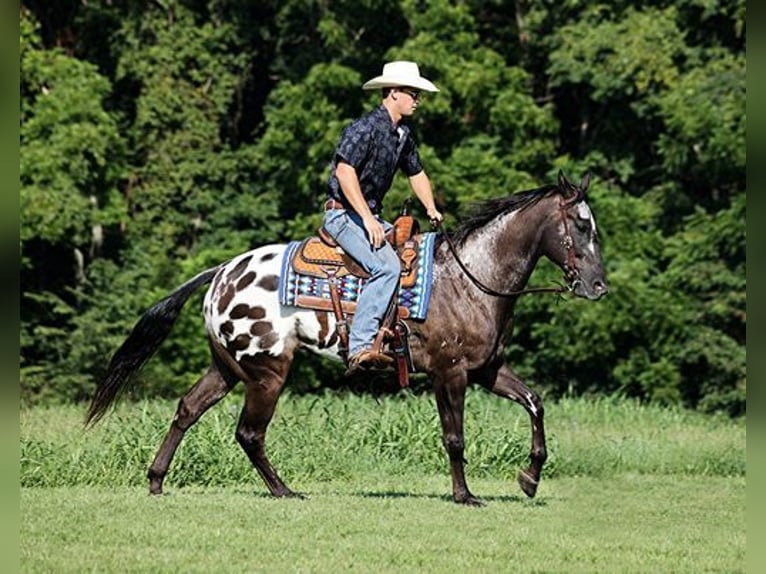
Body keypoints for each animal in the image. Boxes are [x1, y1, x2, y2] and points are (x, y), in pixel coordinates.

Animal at [87, 170, 608, 504]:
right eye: (581, 225)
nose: (598, 286)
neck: (471, 278)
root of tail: (221, 272)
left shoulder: (488, 370)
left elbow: (536, 403)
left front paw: (529, 478)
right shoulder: (450, 373)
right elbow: (454, 436)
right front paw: (465, 495)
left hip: (228, 367)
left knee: (188, 410)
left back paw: (157, 480)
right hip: (267, 372)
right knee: (249, 432)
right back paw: (283, 490)